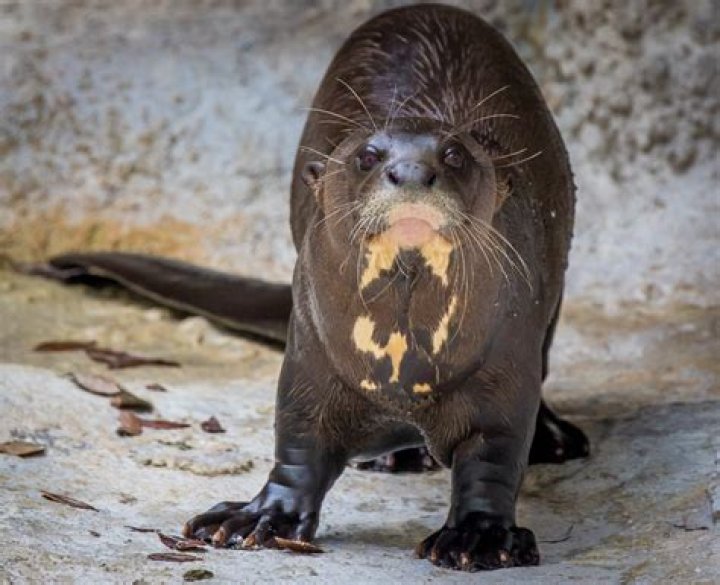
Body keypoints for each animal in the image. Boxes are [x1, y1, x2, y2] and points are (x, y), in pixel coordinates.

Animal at [33, 4, 589, 571]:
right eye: (368, 155)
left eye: (455, 155)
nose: (412, 171)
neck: (400, 375)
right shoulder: (310, 351)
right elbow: (300, 439)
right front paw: (259, 518)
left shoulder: (504, 358)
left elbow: (493, 453)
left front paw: (479, 535)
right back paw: (398, 456)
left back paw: (551, 437)